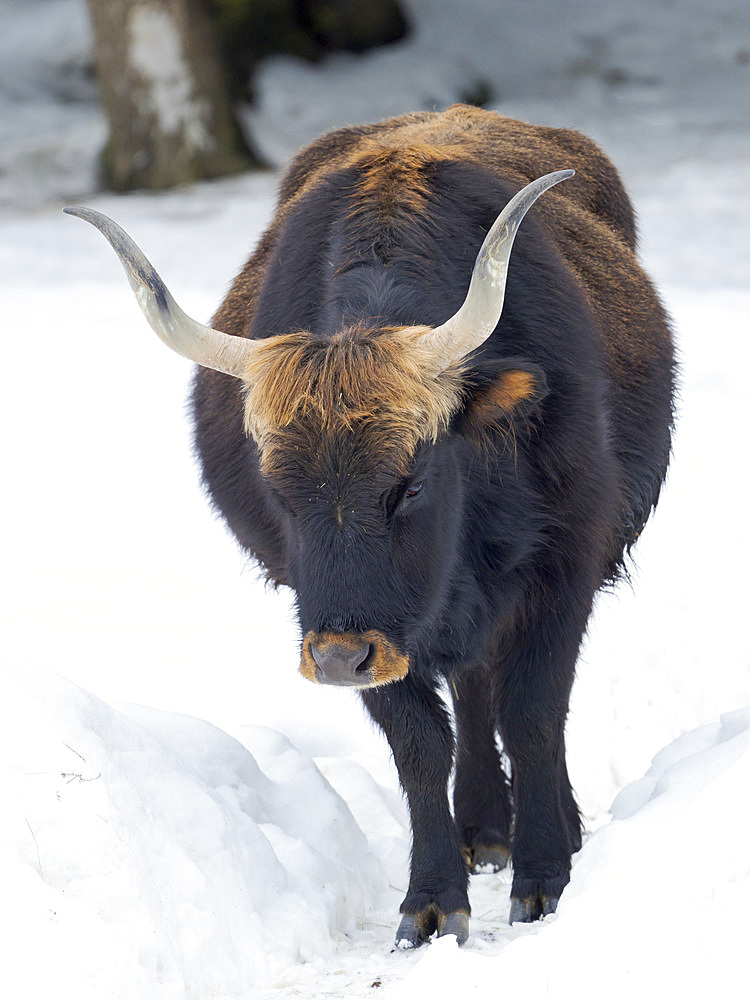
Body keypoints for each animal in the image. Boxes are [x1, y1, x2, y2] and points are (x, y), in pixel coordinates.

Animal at [64, 105, 676, 948]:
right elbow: (420, 744)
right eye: (280, 491)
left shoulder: (564, 569)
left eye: (408, 485)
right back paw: (482, 829)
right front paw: (433, 901)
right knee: (470, 689)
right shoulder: (350, 620)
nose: (339, 659)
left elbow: (533, 716)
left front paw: (546, 877)